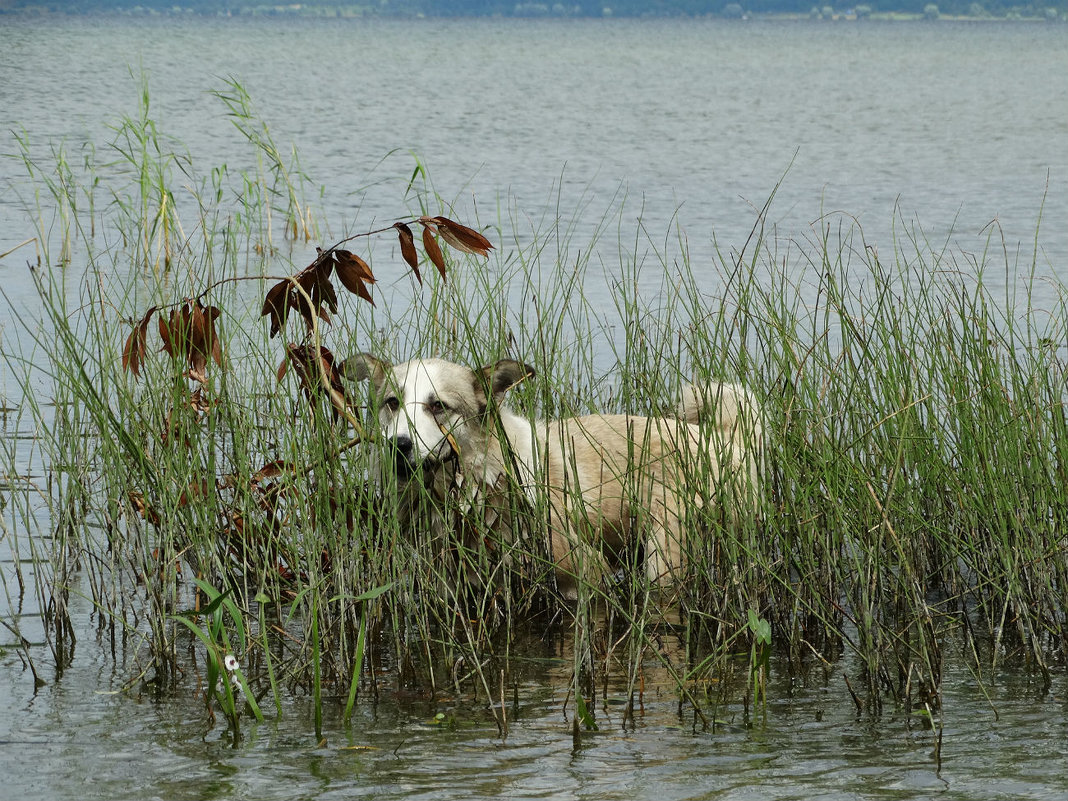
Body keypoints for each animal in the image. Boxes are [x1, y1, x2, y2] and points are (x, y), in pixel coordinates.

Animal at [341, 354, 760, 598]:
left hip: (666, 557)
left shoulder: (583, 572)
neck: (489, 475)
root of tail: (722, 438)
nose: (398, 446)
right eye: (392, 403)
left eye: (438, 406)